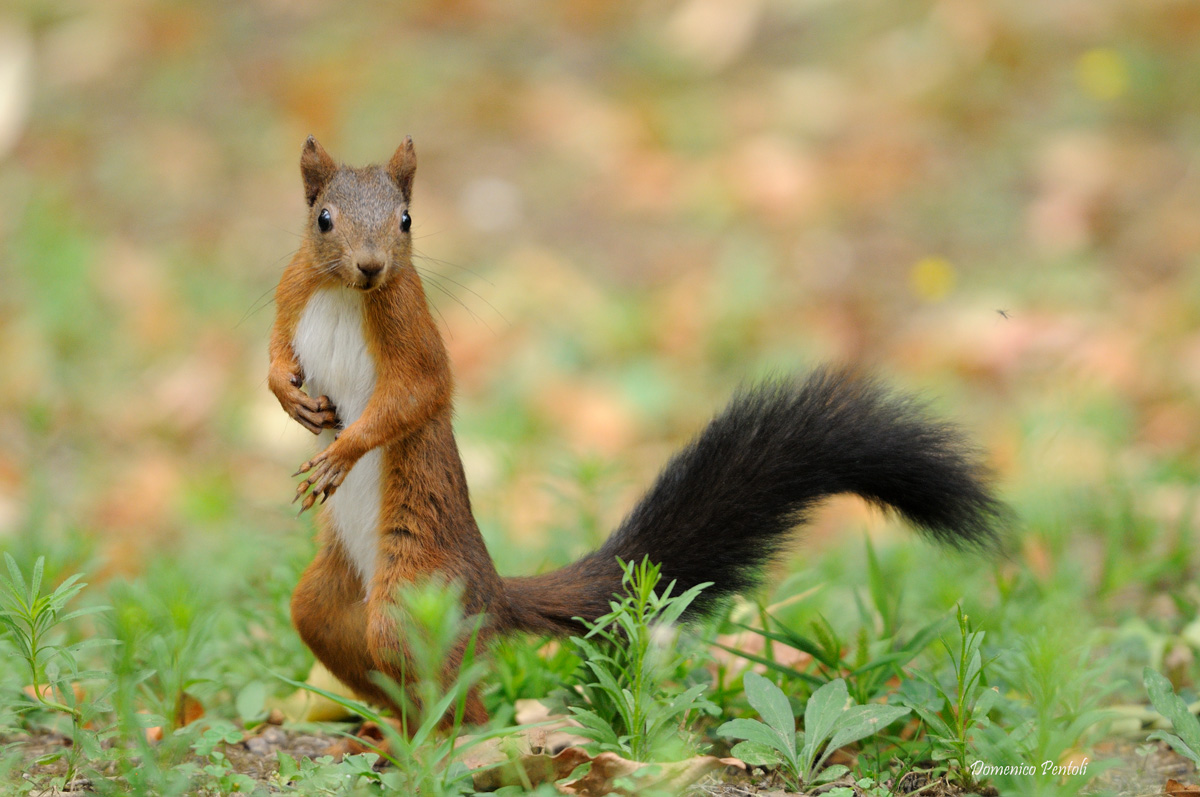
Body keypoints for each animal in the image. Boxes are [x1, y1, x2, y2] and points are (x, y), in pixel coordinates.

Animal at [269, 136, 1006, 726]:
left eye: (406, 220)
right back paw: (387, 736)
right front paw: (289, 398)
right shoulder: (291, 291)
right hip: (330, 603)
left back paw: (453, 748)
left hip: (414, 592)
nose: (371, 265)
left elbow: (415, 396)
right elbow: (276, 355)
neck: (346, 294)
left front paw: (341, 452)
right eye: (322, 218)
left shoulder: (413, 332)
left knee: (456, 694)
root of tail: (492, 590)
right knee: (337, 635)